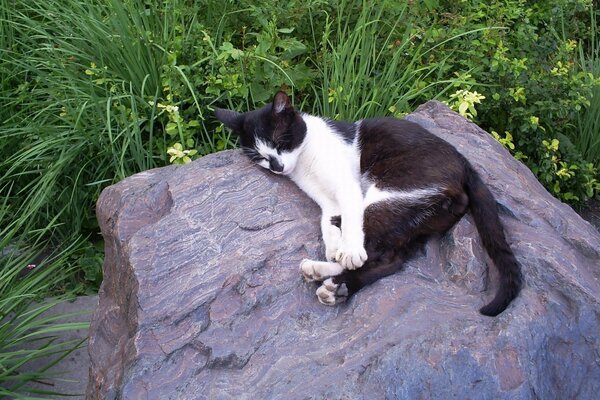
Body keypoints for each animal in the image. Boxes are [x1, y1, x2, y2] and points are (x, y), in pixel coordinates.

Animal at [214, 90, 520, 316]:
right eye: (259, 157)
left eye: (280, 142)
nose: (277, 167)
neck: (304, 161)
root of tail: (465, 165)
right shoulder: (325, 201)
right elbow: (327, 222)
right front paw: (334, 247)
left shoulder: (347, 186)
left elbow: (350, 219)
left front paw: (347, 250)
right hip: (412, 220)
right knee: (391, 259)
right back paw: (332, 282)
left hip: (389, 192)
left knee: (374, 247)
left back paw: (327, 274)